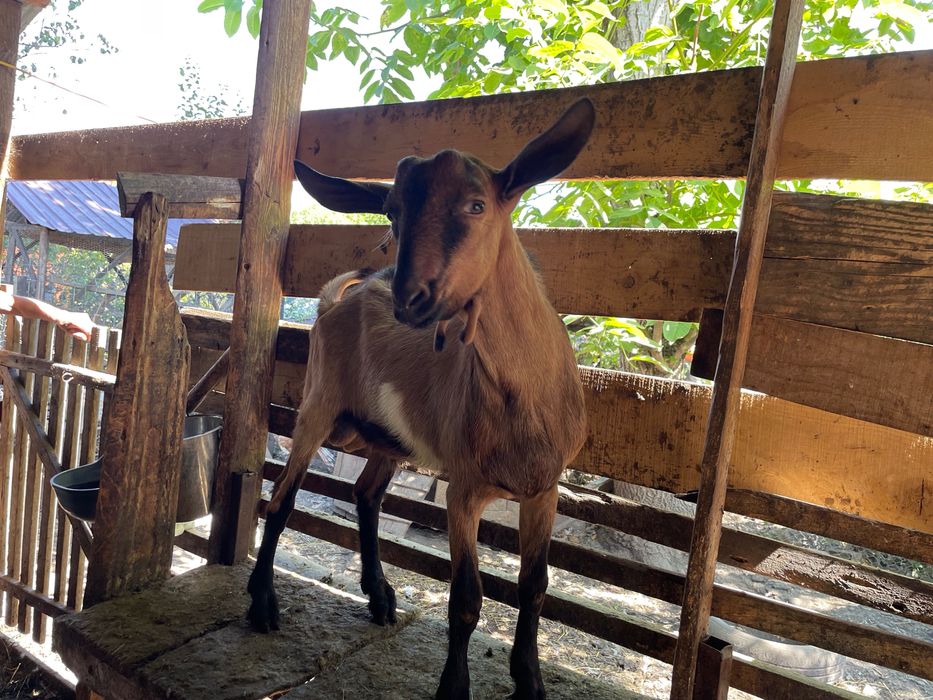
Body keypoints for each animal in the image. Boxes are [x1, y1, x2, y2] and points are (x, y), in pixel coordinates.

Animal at [248, 98, 594, 700]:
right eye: (391, 212)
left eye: (477, 205)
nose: (411, 297)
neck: (525, 400)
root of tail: (338, 299)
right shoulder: (464, 488)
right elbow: (466, 599)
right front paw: (453, 689)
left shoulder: (545, 487)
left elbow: (535, 585)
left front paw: (530, 682)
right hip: (318, 403)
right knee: (282, 497)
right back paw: (262, 602)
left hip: (389, 436)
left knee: (366, 494)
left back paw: (379, 594)